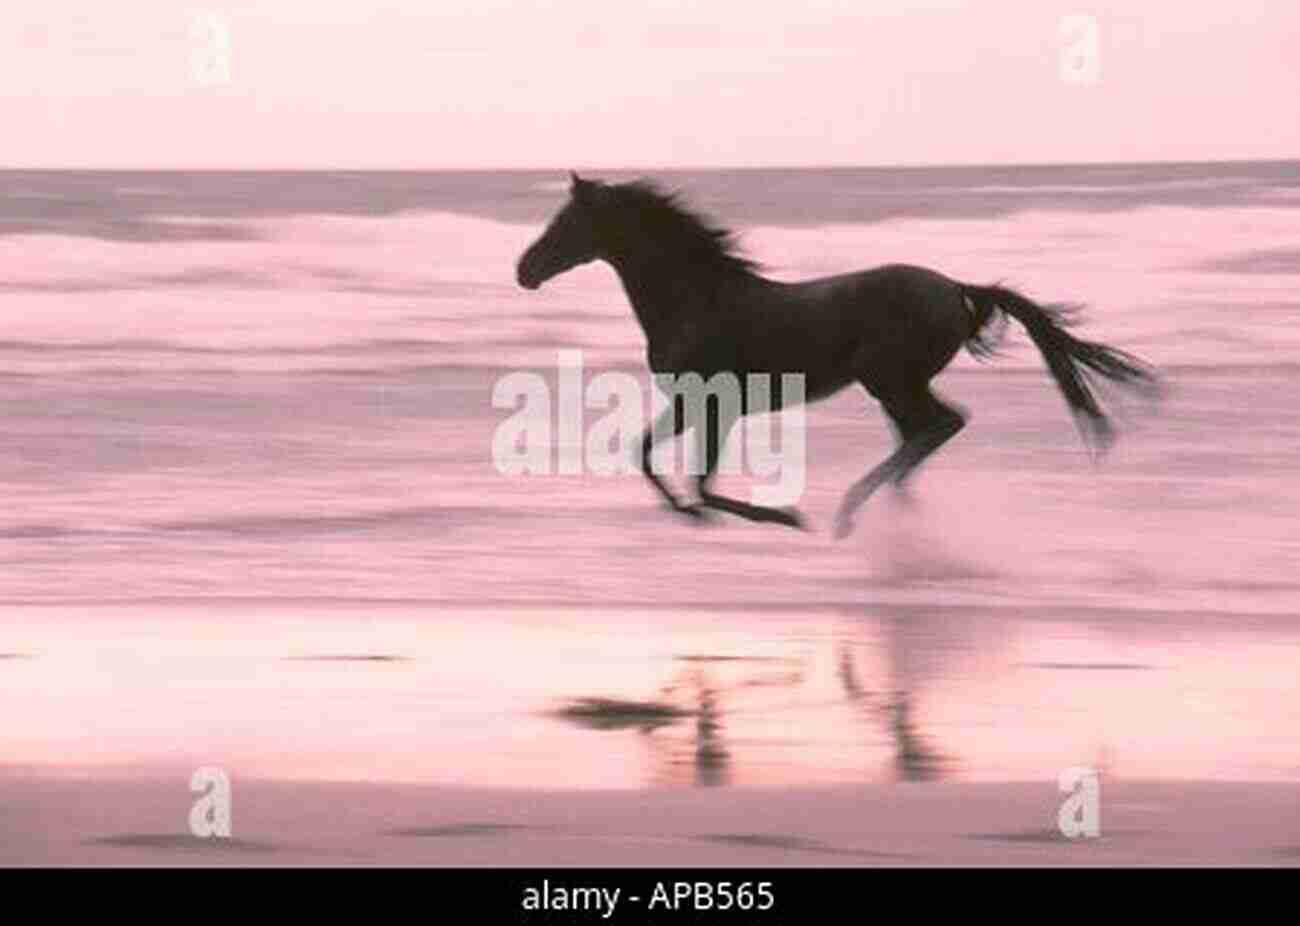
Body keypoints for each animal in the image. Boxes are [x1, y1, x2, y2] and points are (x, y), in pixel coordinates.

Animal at [512, 170, 1154, 538]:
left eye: (566, 222)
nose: (525, 269)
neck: (699, 297)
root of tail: (955, 288)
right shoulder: (696, 403)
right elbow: (644, 455)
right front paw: (691, 514)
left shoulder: (719, 405)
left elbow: (701, 481)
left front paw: (781, 516)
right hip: (893, 386)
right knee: (922, 434)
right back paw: (891, 509)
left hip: (888, 378)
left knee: (942, 424)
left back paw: (853, 512)